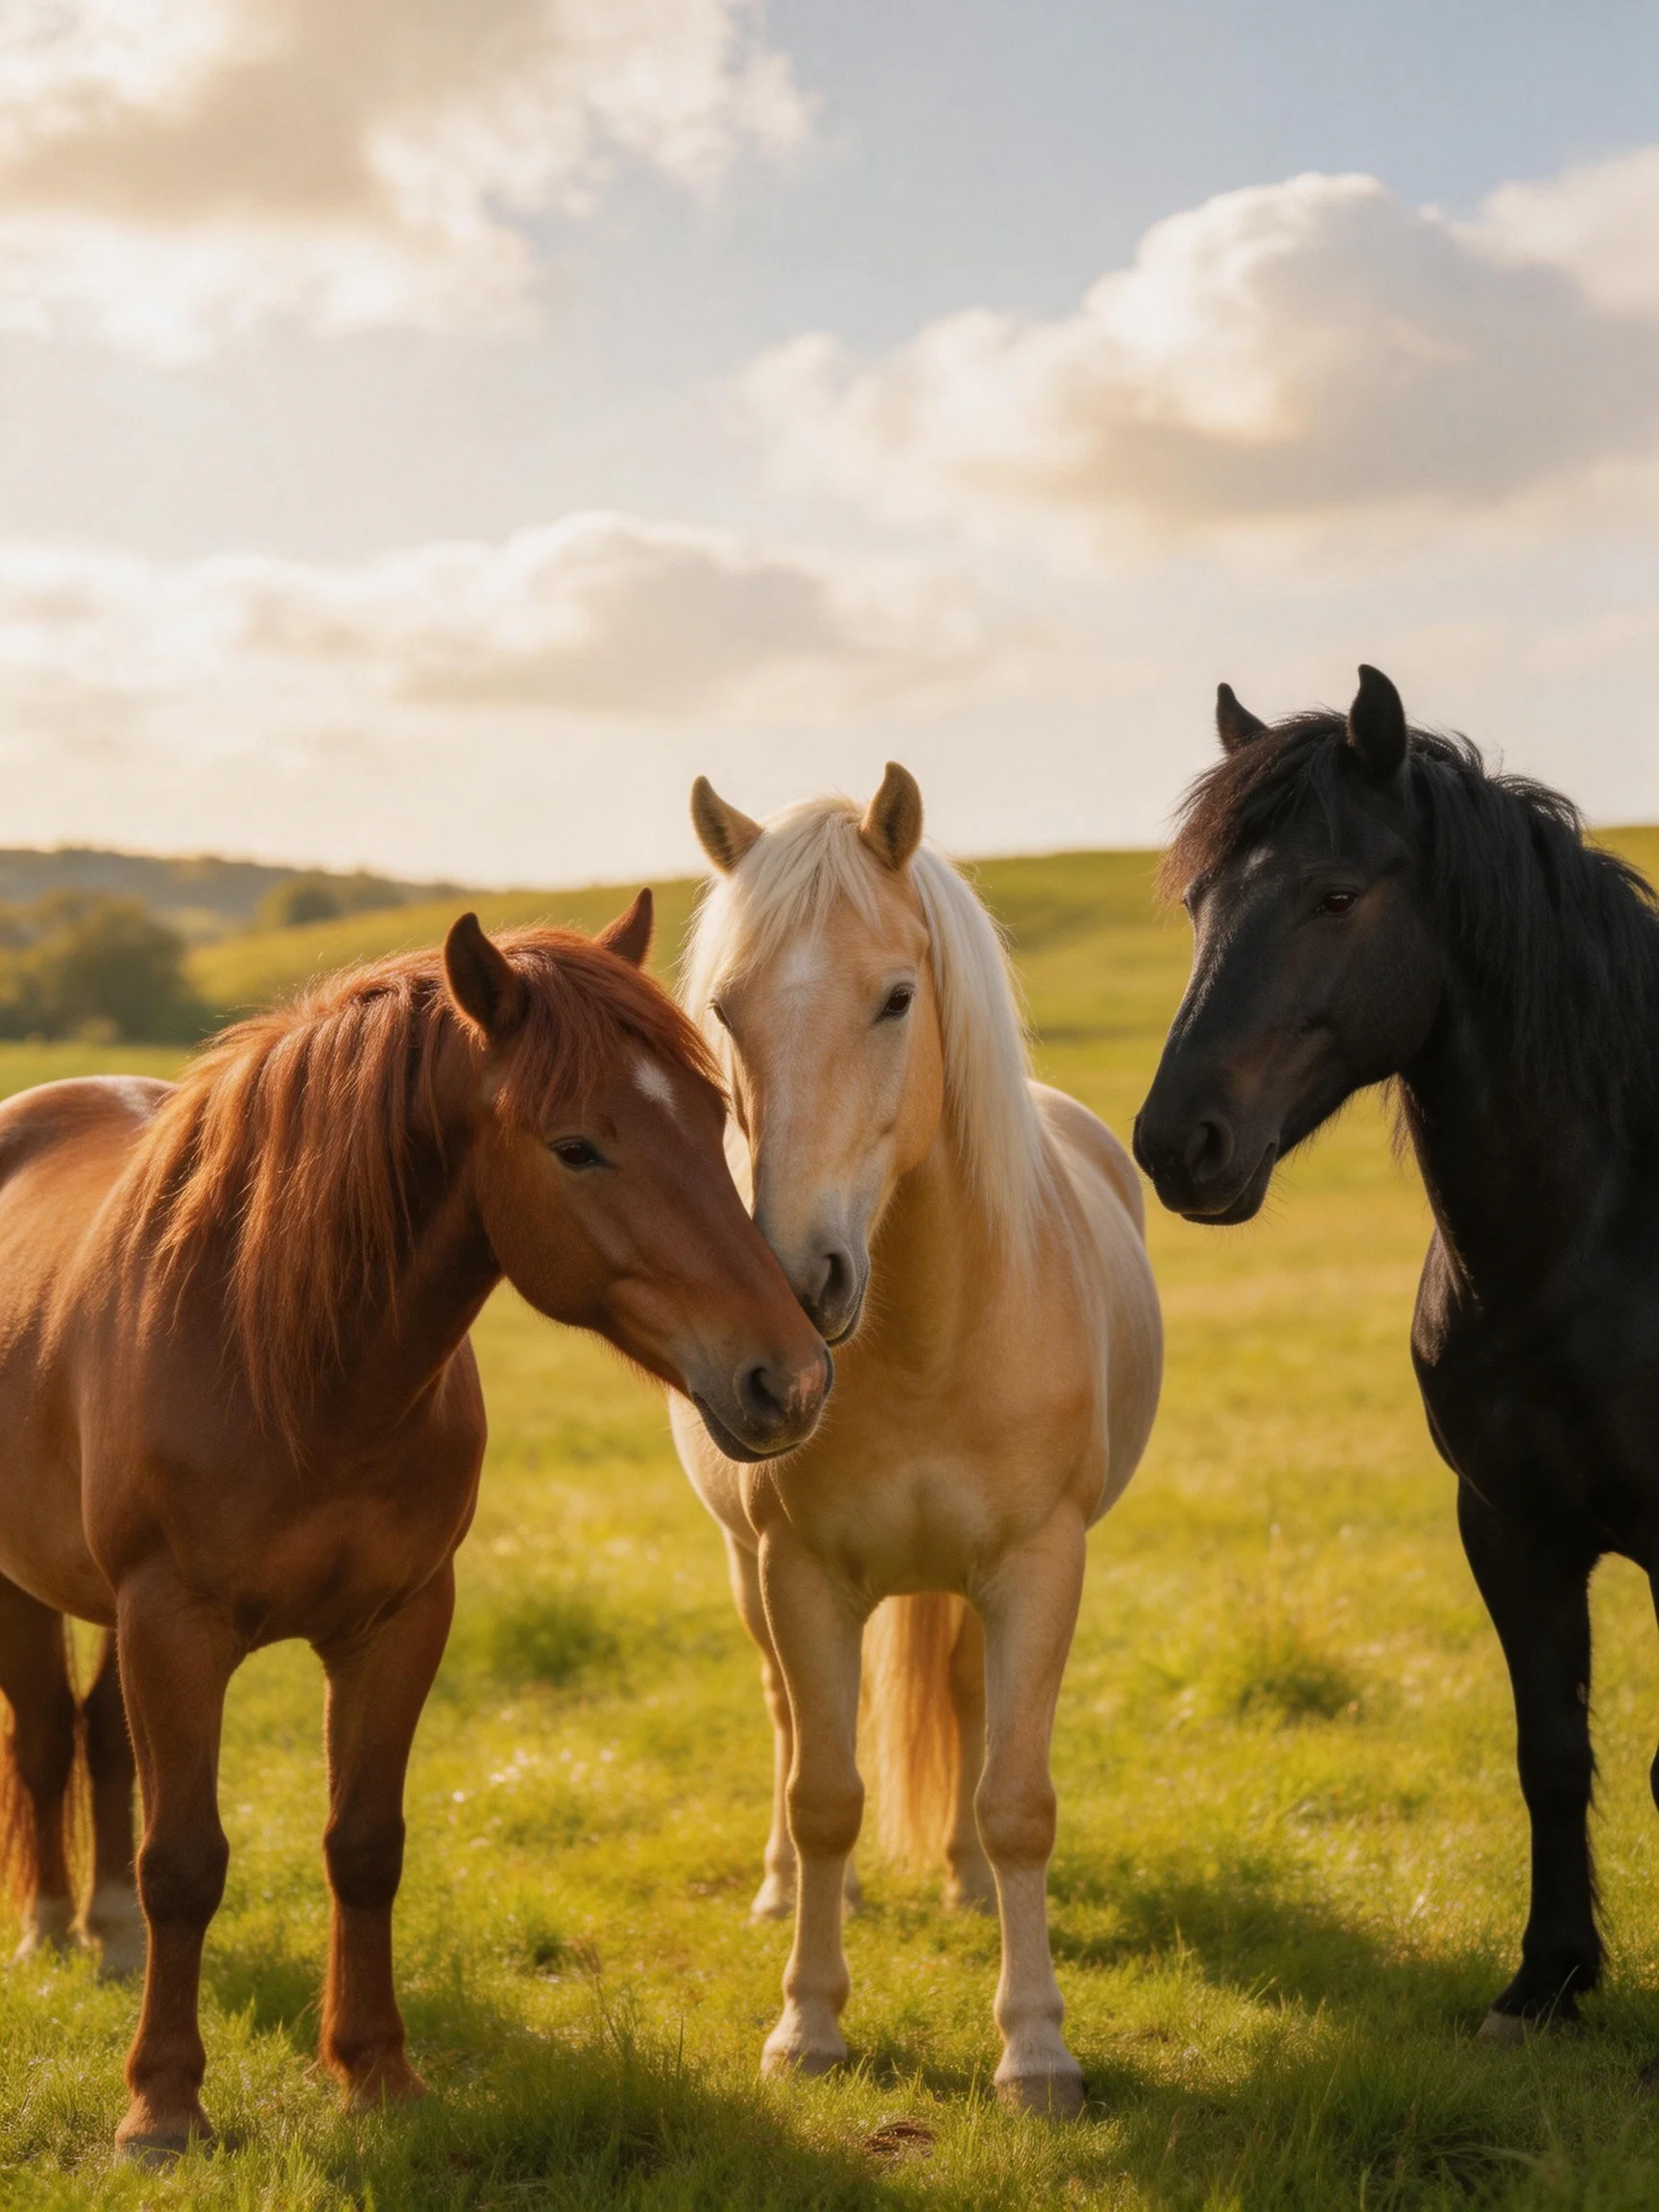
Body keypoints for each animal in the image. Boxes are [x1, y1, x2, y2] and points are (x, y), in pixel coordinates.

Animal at [0, 894, 831, 2157]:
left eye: (711, 1116)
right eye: (576, 1145)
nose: (789, 1380)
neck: (286, 1359)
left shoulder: (399, 1622)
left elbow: (364, 1846)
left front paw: (376, 2071)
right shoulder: (173, 1627)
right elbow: (185, 1860)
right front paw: (162, 2107)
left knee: (94, 1736)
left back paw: (109, 1931)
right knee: (46, 1732)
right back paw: (51, 1926)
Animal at [674, 766, 1162, 2114]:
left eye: (897, 997)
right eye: (726, 1010)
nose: (795, 1289)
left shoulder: (1039, 1567)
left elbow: (1018, 1800)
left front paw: (1037, 2048)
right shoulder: (798, 1574)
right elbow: (826, 1793)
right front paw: (809, 2024)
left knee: (966, 1711)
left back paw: (963, 1883)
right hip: (749, 1577)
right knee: (790, 1725)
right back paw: (779, 1889)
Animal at [1134, 665, 1659, 2069]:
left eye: (1334, 894)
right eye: (1199, 902)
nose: (1176, 1143)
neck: (1592, 1247)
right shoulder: (1509, 1527)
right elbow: (1552, 1753)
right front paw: (1547, 1980)